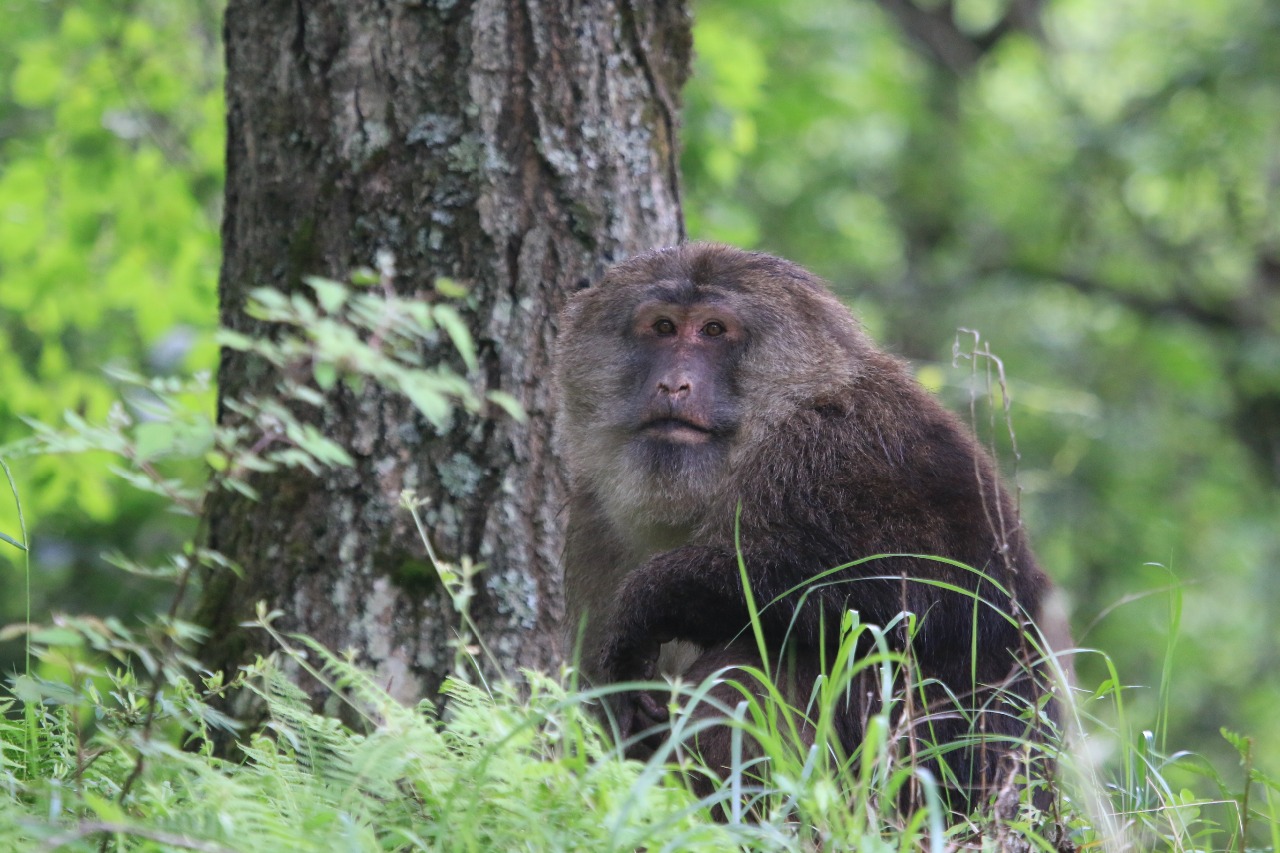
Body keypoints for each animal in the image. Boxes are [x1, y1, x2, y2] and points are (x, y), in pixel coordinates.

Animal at [555, 240, 1064, 809]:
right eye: (663, 327)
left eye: (713, 330)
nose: (673, 384)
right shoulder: (592, 520)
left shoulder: (844, 445)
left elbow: (951, 594)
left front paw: (652, 600)